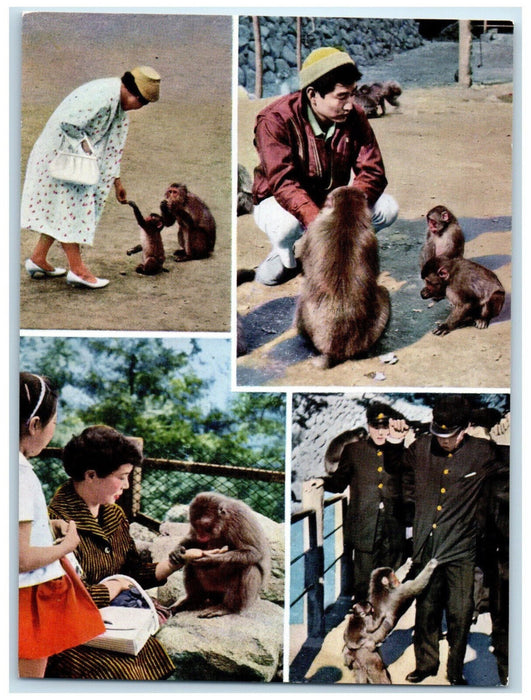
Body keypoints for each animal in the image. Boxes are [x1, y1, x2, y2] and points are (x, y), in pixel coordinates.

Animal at [251, 45, 396, 284]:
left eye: (349, 94)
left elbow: (372, 168)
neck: (319, 117)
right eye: (342, 95)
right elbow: (284, 177)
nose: (349, 106)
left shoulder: (360, 119)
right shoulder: (271, 125)